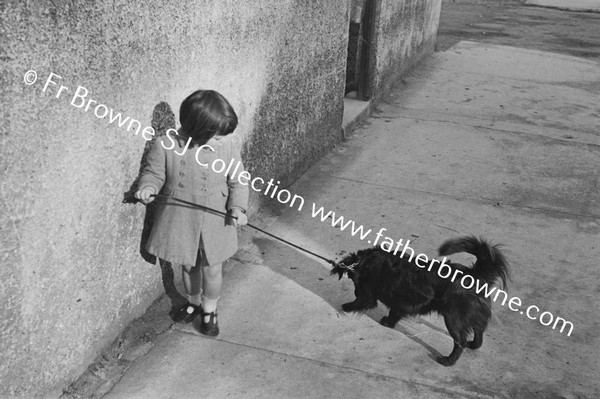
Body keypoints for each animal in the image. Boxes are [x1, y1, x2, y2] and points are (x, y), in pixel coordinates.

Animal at [330, 236, 508, 368]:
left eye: (352, 280)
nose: (354, 292)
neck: (367, 262)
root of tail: (474, 274)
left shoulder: (367, 294)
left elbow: (363, 301)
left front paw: (347, 306)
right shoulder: (400, 302)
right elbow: (394, 312)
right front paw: (389, 322)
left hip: (453, 318)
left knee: (460, 341)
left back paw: (448, 361)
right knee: (479, 329)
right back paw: (474, 345)